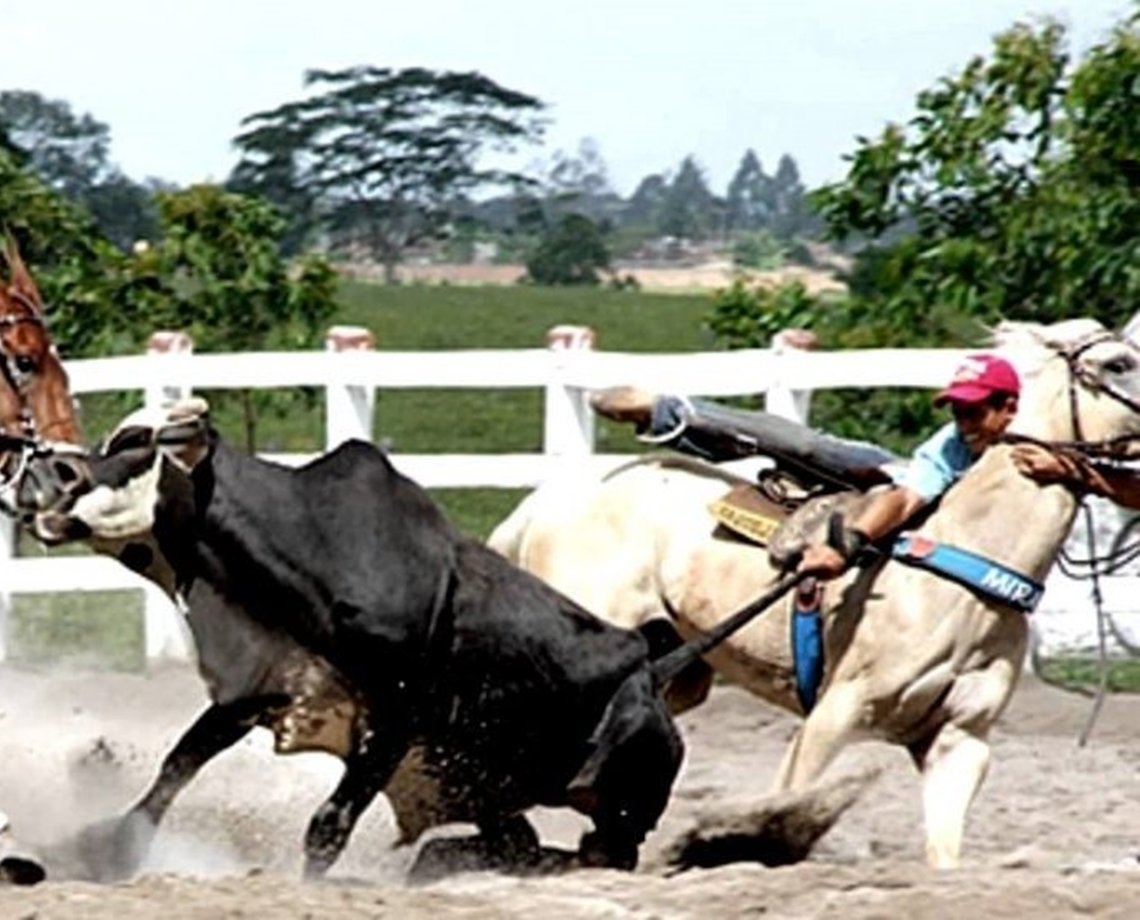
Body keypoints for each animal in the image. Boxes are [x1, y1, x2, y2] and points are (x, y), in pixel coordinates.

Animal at [35, 428, 756, 880]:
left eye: (137, 452)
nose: (54, 472)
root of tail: (648, 668)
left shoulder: (395, 723)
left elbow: (327, 826)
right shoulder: (257, 693)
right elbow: (175, 768)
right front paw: (103, 851)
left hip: (620, 805)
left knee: (602, 854)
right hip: (489, 788)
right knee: (519, 843)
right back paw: (436, 866)